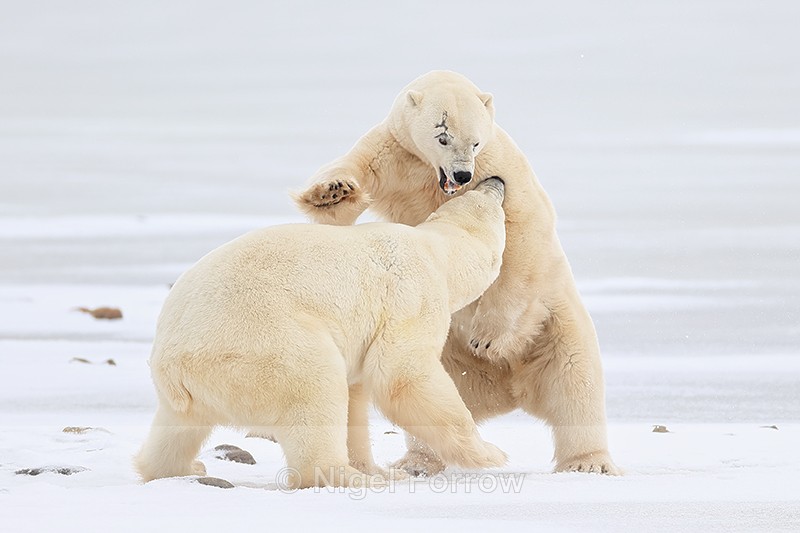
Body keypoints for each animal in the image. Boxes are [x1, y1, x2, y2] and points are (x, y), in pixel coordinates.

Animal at [135, 177, 508, 489]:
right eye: (491, 200)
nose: (497, 180)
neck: (435, 250)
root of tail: (174, 363)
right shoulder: (412, 297)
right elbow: (402, 376)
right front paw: (490, 453)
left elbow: (357, 396)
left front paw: (381, 469)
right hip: (262, 345)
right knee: (316, 388)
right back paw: (346, 477)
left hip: (190, 386)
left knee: (178, 427)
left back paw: (180, 468)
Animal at [294, 70, 620, 475]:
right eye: (442, 136)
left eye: (476, 141)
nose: (463, 174)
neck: (431, 175)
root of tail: (507, 390)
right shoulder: (393, 156)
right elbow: (350, 182)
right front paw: (332, 191)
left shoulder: (500, 167)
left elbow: (523, 232)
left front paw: (487, 339)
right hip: (450, 357)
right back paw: (417, 463)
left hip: (555, 325)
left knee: (576, 386)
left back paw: (588, 463)